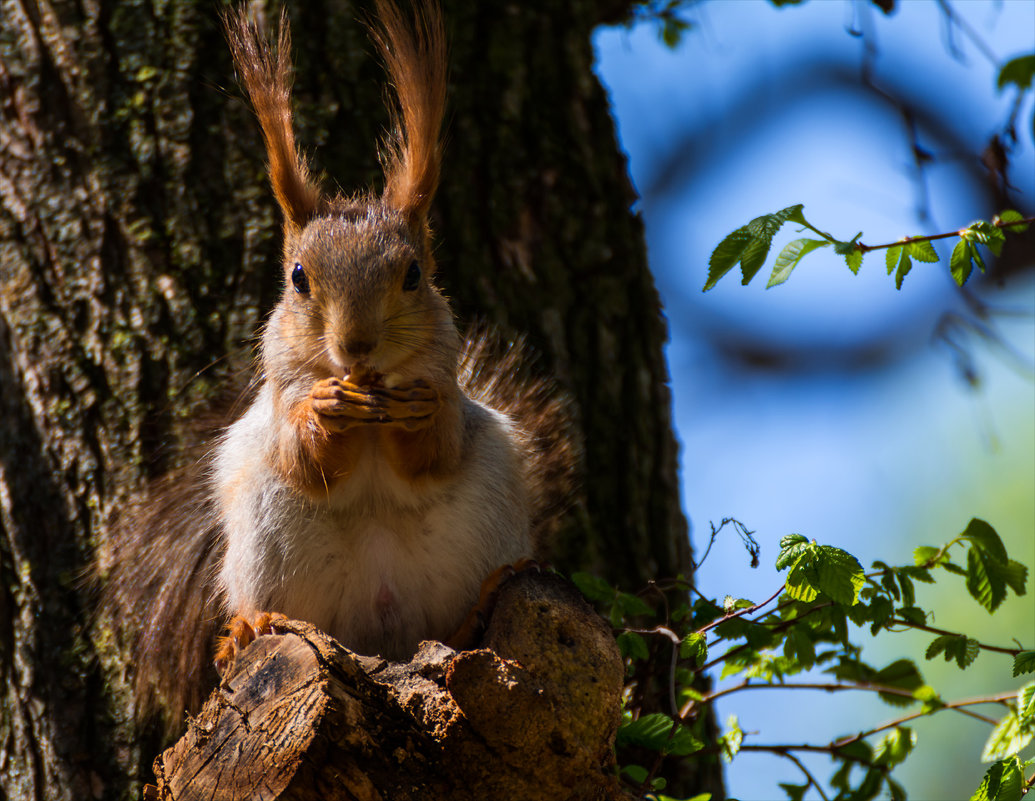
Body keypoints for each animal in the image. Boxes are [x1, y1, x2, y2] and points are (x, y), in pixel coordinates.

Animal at [97, 0, 575, 732]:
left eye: (414, 275)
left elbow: (435, 450)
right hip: (267, 535)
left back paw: (479, 608)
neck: (372, 398)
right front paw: (324, 409)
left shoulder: (450, 392)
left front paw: (417, 411)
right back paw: (250, 625)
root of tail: (380, 630)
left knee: (455, 622)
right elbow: (304, 458)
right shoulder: (277, 400)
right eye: (298, 277)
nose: (356, 346)